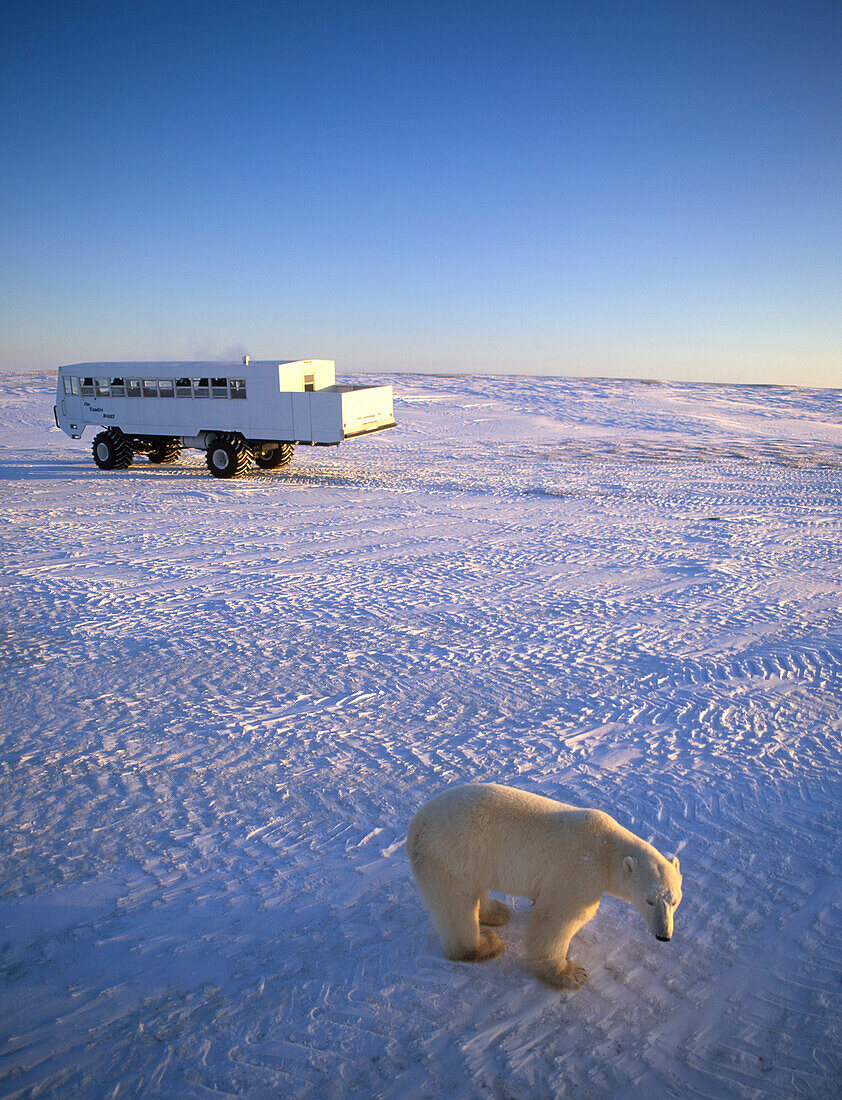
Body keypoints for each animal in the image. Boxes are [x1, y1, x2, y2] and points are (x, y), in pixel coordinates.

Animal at [407, 783, 682, 990]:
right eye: (649, 899)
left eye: (674, 900)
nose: (663, 936)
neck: (606, 847)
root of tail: (416, 826)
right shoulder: (580, 870)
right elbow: (559, 918)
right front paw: (571, 974)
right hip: (453, 853)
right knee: (456, 904)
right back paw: (484, 945)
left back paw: (497, 912)